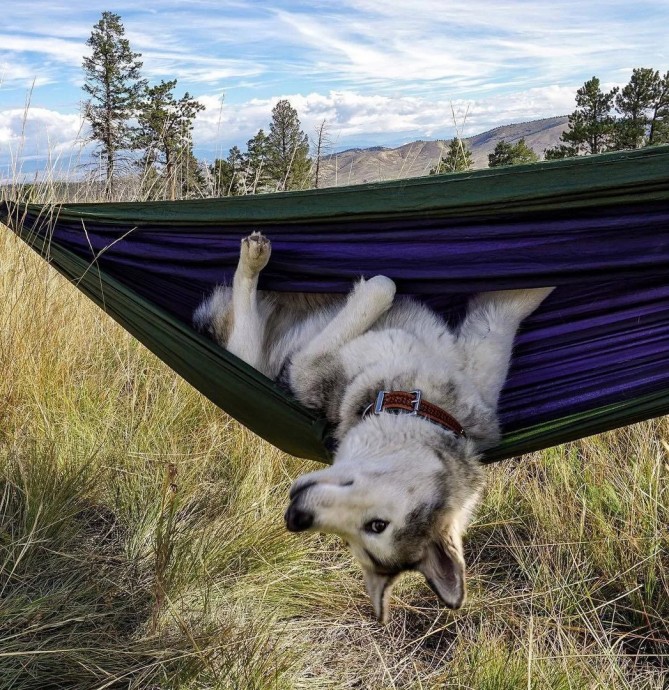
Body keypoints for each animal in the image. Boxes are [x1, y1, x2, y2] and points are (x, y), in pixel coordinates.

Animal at [194, 232, 552, 624]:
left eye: (371, 529)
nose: (295, 517)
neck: (412, 398)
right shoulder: (476, 346)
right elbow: (502, 302)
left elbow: (498, 303)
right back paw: (256, 259)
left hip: (254, 361)